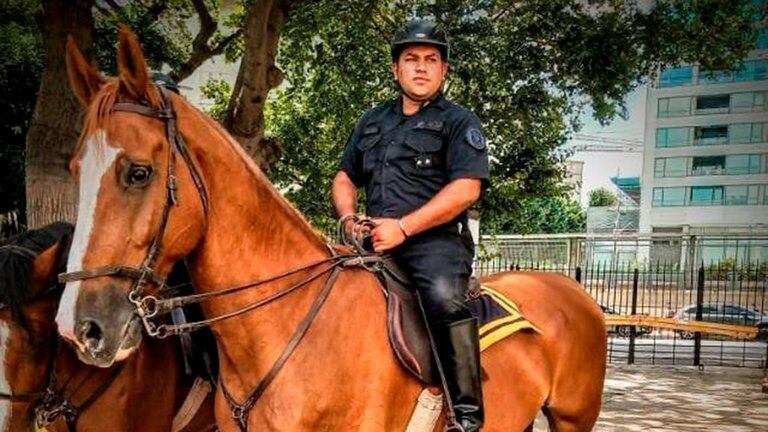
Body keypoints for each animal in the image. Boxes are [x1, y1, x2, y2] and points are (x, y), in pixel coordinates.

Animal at [57, 27, 604, 432]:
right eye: (75, 169)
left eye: (139, 173)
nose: (79, 328)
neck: (289, 326)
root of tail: (569, 288)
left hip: (573, 419)